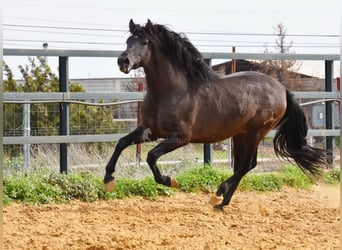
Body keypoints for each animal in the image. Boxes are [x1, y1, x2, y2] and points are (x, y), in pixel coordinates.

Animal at [103, 19, 328, 210]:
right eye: (128, 40)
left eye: (145, 42)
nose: (123, 61)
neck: (171, 91)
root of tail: (282, 89)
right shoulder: (151, 131)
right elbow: (122, 143)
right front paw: (108, 180)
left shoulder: (180, 137)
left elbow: (151, 156)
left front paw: (169, 180)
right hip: (242, 134)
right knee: (247, 165)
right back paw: (222, 202)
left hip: (257, 131)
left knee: (245, 165)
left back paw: (218, 194)